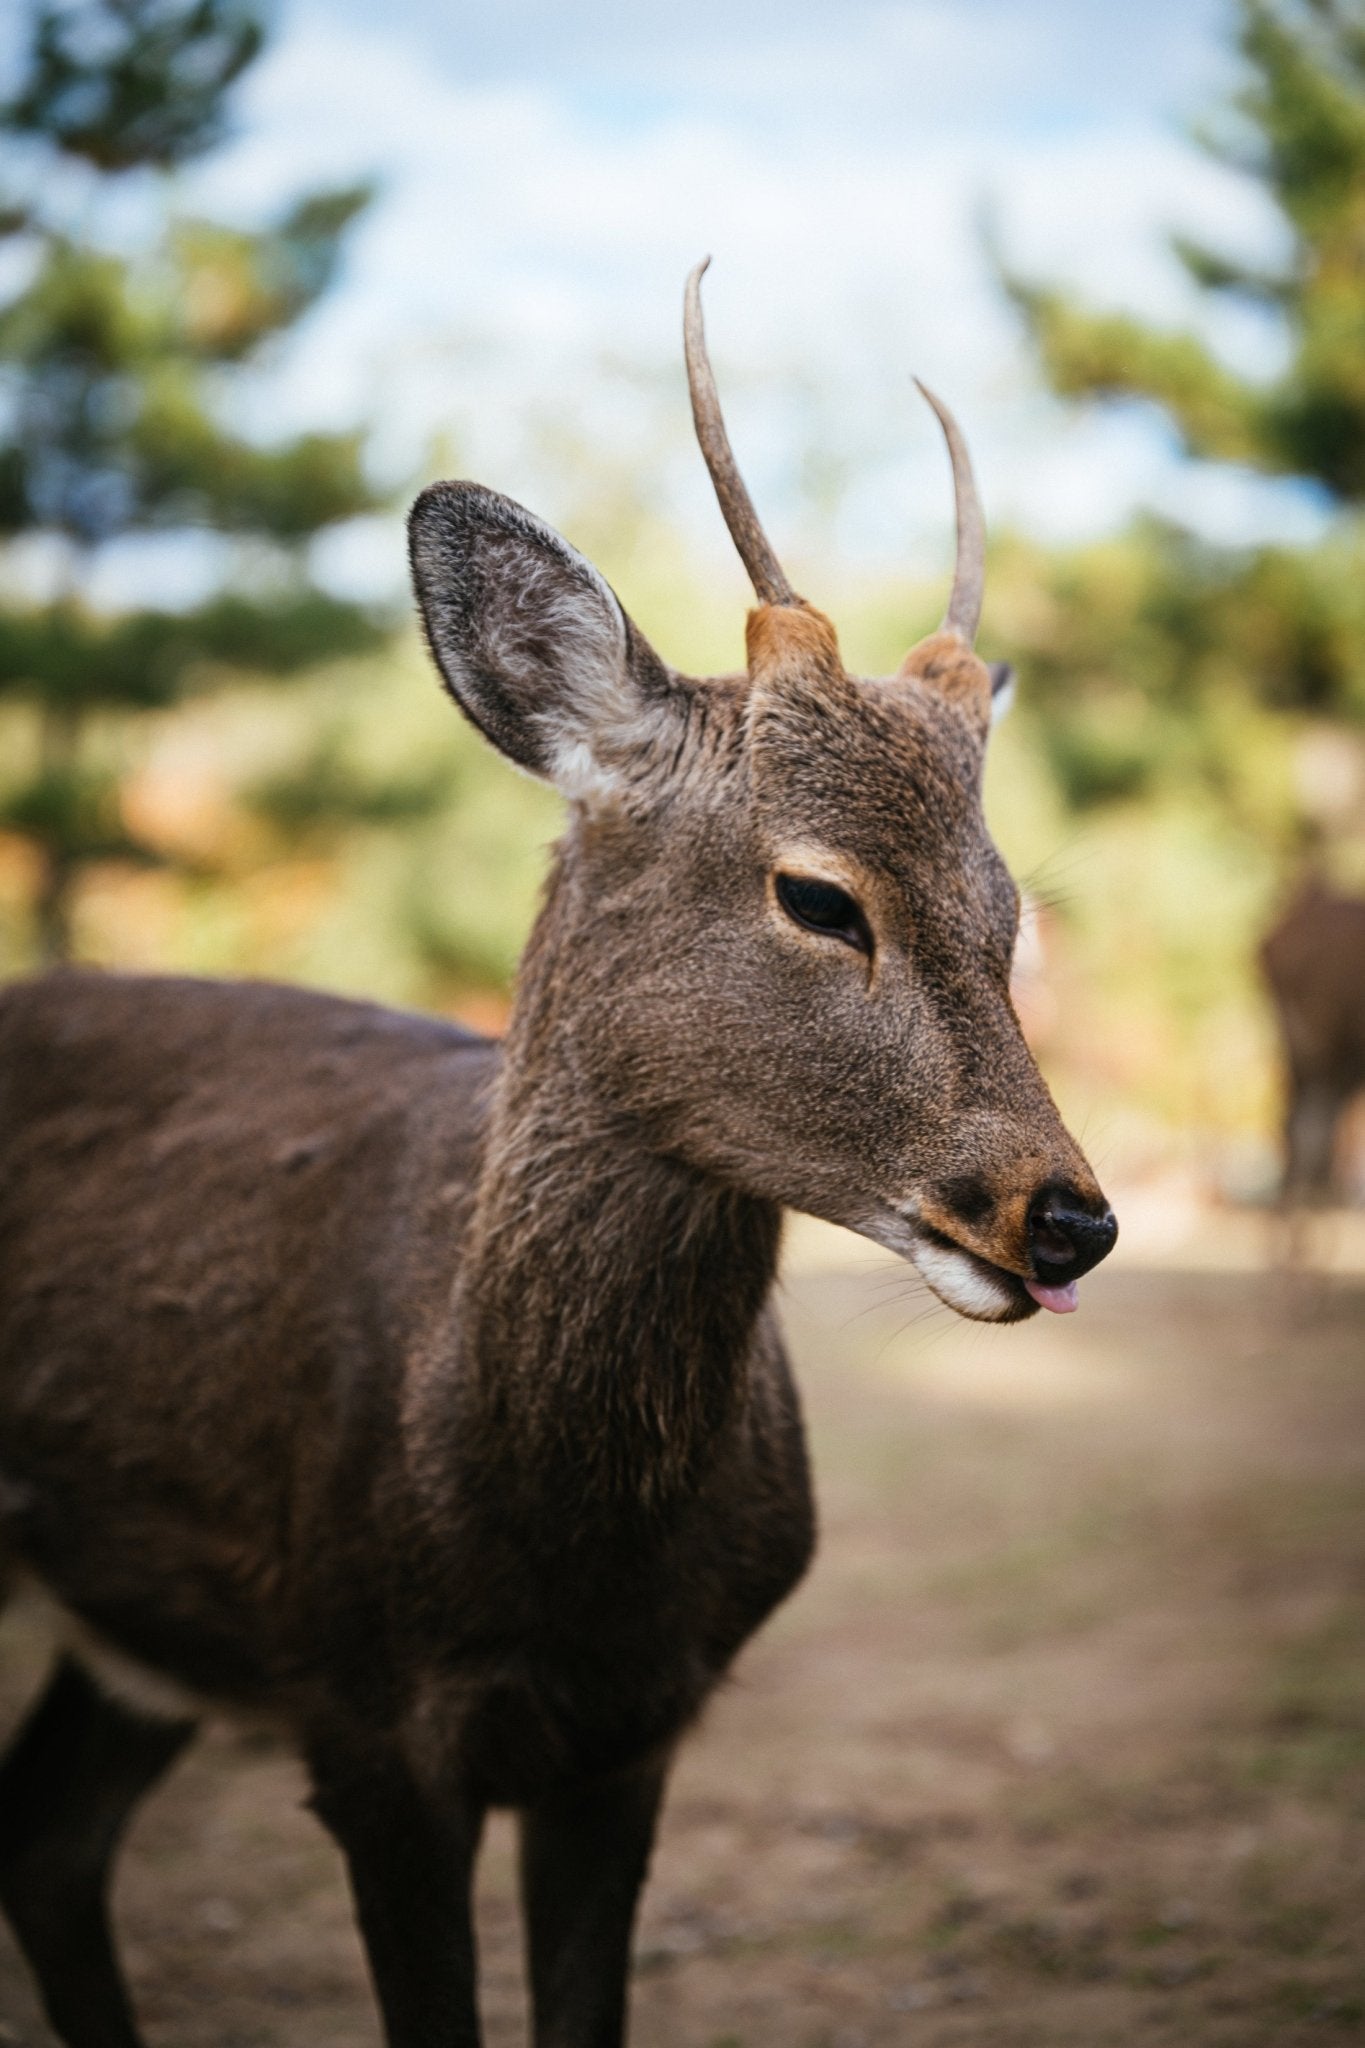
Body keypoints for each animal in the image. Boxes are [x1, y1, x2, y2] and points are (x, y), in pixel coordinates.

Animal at [0, 261, 1117, 2048]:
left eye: (1006, 912)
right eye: (819, 896)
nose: (1067, 1218)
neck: (554, 1549)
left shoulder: (636, 1733)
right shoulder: (364, 1721)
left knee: (43, 1833)